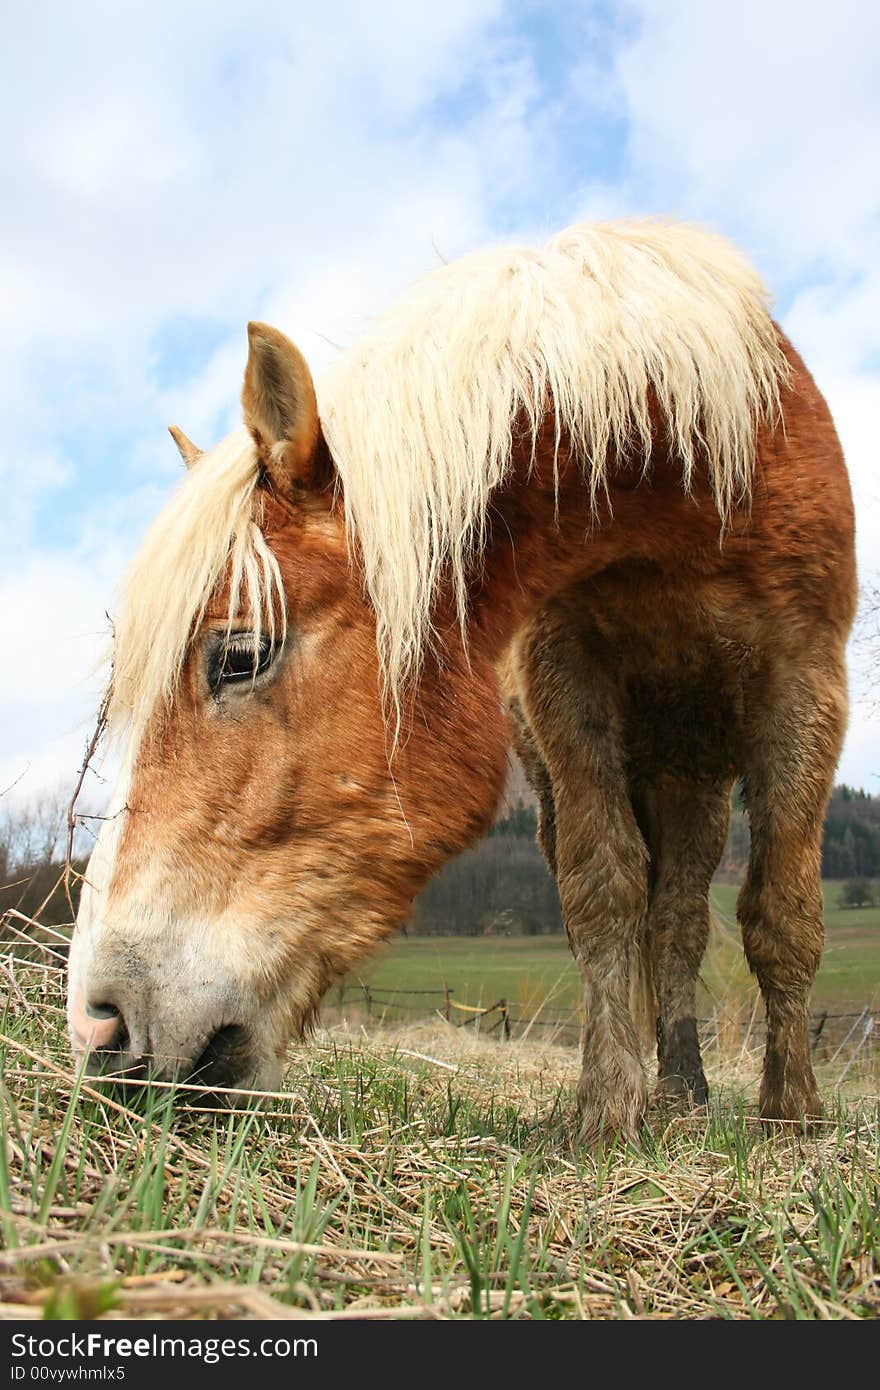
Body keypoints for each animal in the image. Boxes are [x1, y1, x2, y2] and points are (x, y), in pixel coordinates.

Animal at [65, 222, 856, 1145]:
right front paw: (605, 1110)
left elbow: (783, 912)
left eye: (237, 657)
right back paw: (677, 1092)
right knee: (667, 922)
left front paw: (793, 1116)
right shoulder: (564, 683)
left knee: (684, 921)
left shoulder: (805, 683)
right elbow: (604, 890)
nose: (98, 1027)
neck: (695, 471)